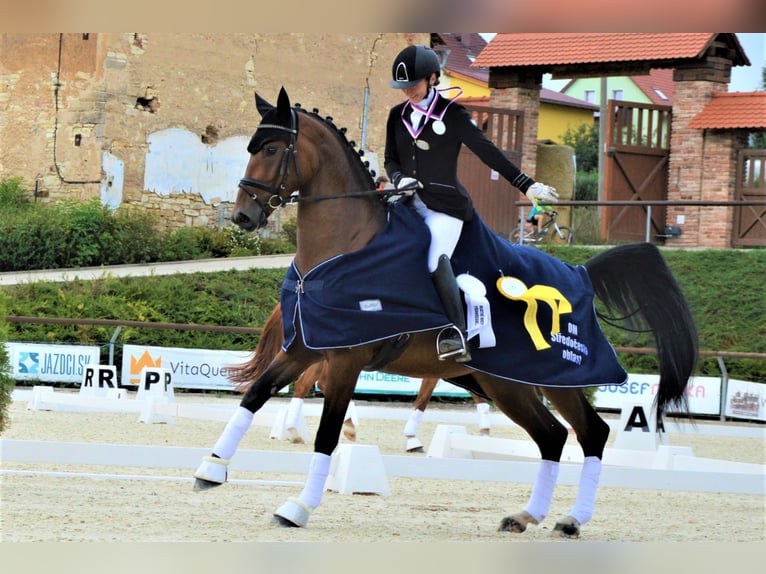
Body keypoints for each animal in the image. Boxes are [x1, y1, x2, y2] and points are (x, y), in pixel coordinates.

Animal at [228, 302, 492, 454]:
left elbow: (475, 396)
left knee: (309, 384)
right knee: (316, 384)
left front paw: (485, 432)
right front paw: (412, 439)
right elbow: (425, 399)